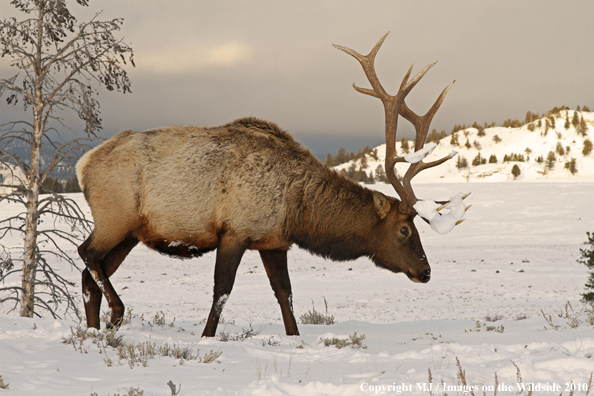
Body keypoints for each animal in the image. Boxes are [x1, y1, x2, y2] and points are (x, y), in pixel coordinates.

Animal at [77, 33, 468, 338]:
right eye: (405, 230)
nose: (425, 271)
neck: (298, 210)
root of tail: (84, 165)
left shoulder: (274, 241)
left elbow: (285, 294)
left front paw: (295, 338)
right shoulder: (235, 231)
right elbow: (222, 291)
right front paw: (206, 337)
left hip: (130, 233)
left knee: (87, 275)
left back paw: (94, 332)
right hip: (115, 216)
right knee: (86, 253)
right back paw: (116, 314)